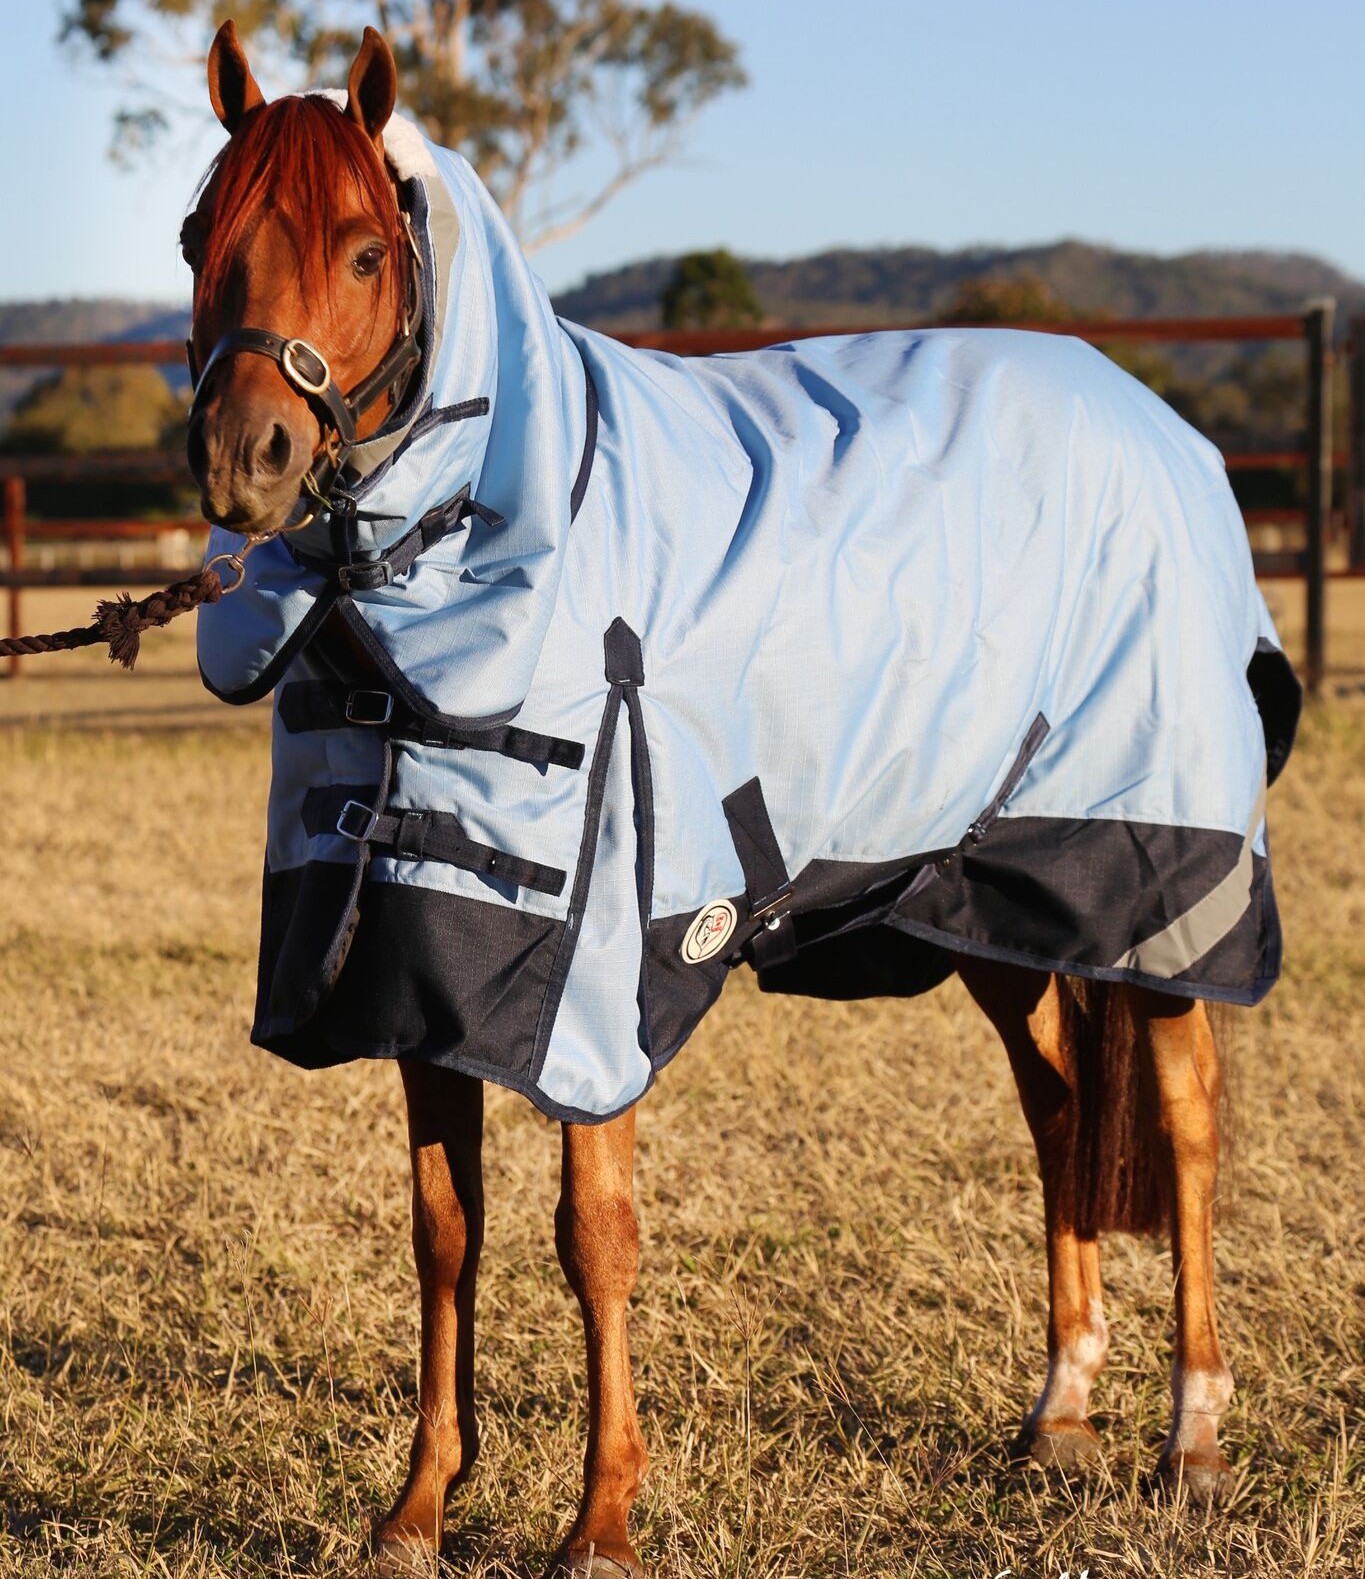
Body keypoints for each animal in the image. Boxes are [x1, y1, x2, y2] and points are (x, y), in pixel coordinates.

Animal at [183, 21, 1299, 1577]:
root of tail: (1164, 429)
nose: (247, 458)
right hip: (991, 905)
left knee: (1184, 1123)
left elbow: (594, 1233)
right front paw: (415, 1508)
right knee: (1062, 1110)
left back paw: (1190, 1437)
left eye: (359, 249)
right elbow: (442, 1229)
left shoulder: (595, 969)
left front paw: (602, 1517)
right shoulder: (416, 951)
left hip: (1145, 878)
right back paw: (1063, 1413)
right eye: (195, 239)